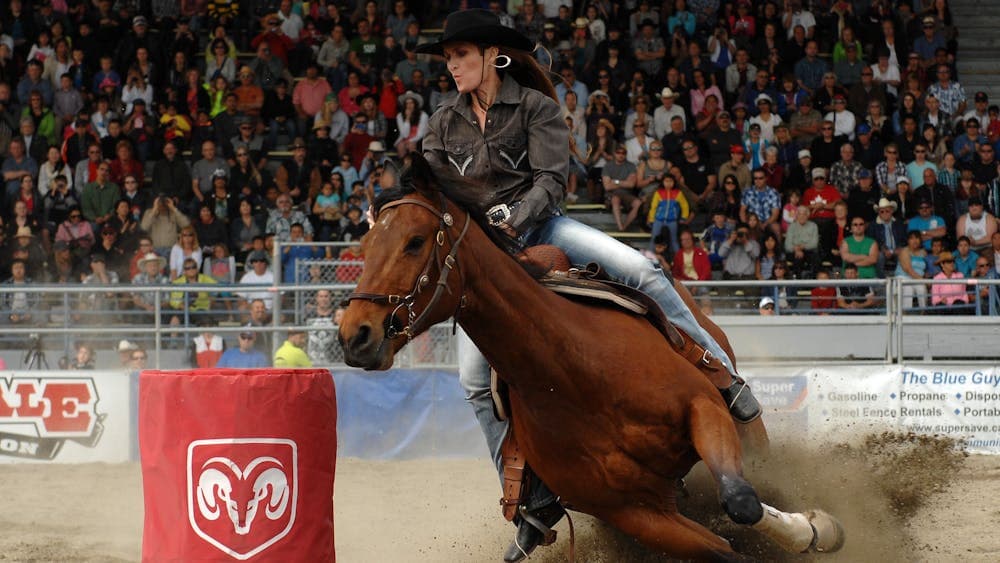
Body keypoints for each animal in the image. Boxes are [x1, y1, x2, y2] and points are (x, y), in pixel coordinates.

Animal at [338, 160, 844, 563]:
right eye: (365, 247)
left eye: (415, 241)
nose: (355, 335)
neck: (576, 375)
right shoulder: (635, 515)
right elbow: (727, 548)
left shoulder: (704, 411)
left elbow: (741, 502)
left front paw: (816, 529)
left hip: (741, 421)